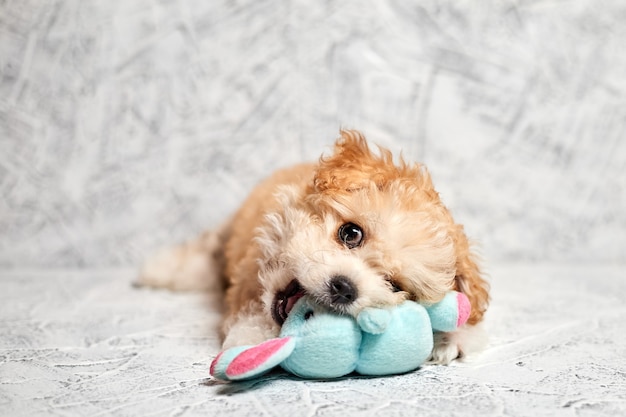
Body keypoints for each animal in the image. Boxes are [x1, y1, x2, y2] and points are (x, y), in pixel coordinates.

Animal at [139, 130, 490, 364]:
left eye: (394, 285)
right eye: (351, 233)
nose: (345, 288)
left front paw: (451, 338)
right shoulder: (249, 269)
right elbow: (248, 311)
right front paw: (250, 343)